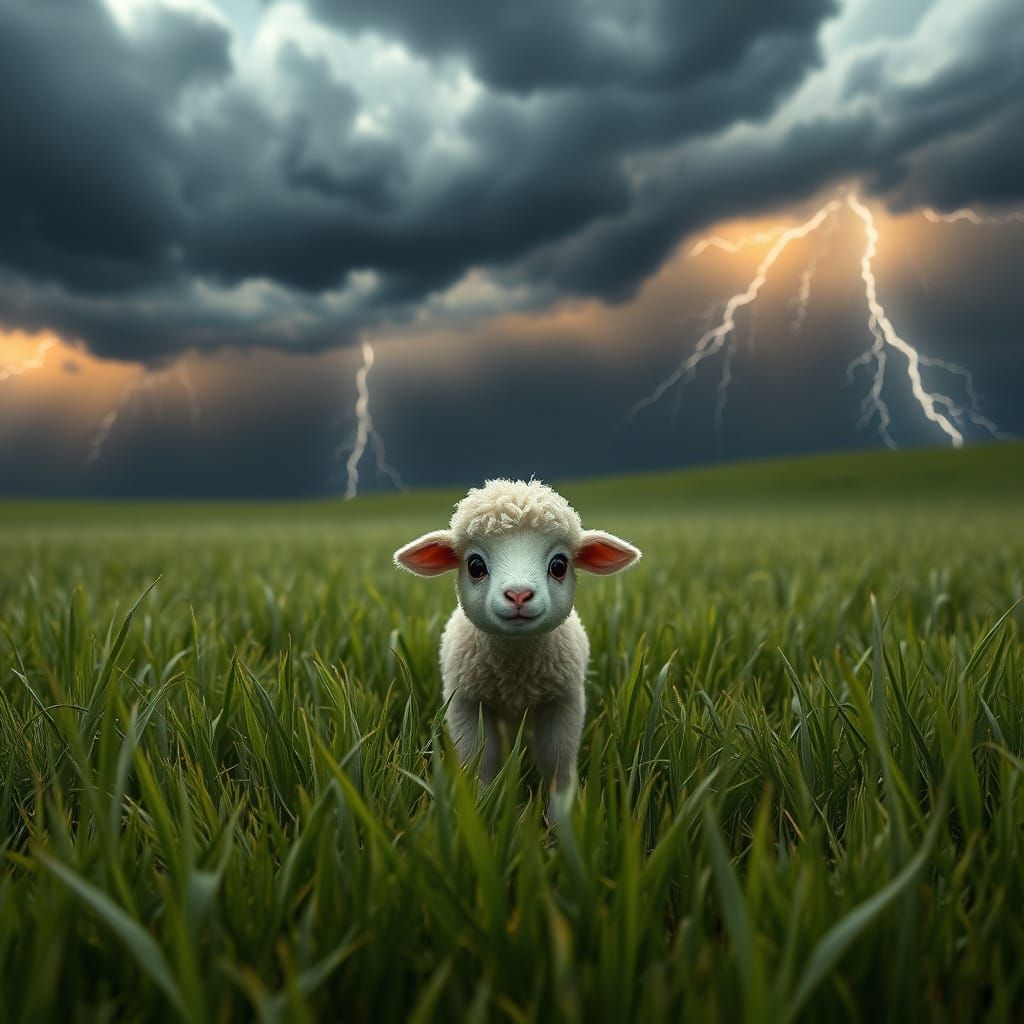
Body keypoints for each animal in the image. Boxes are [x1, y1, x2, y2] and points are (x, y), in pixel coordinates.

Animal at [393, 478, 641, 819]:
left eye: (559, 565)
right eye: (475, 566)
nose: (519, 594)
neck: (516, 668)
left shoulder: (563, 702)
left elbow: (557, 764)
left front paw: (562, 822)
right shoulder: (466, 703)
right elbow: (479, 762)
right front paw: (484, 809)